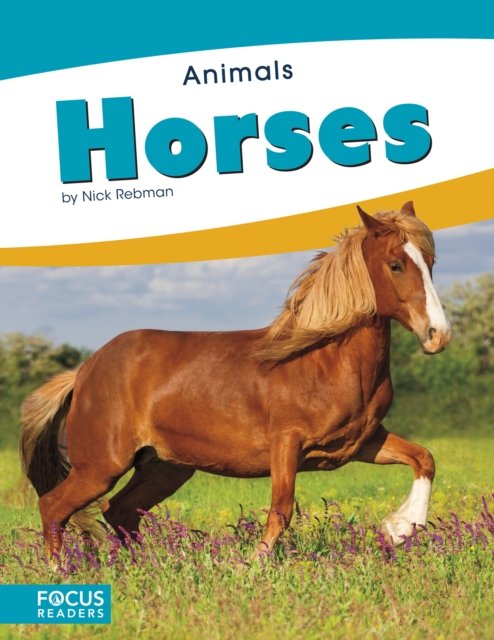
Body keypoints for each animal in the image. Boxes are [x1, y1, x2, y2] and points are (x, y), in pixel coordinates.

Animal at [20, 202, 451, 560]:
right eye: (396, 264)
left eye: (431, 261)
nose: (438, 335)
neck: (322, 361)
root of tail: (84, 371)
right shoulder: (287, 444)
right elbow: (281, 510)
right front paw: (253, 565)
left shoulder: (359, 443)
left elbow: (424, 458)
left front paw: (399, 529)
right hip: (101, 467)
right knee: (54, 507)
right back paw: (64, 572)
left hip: (164, 467)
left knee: (120, 511)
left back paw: (149, 565)